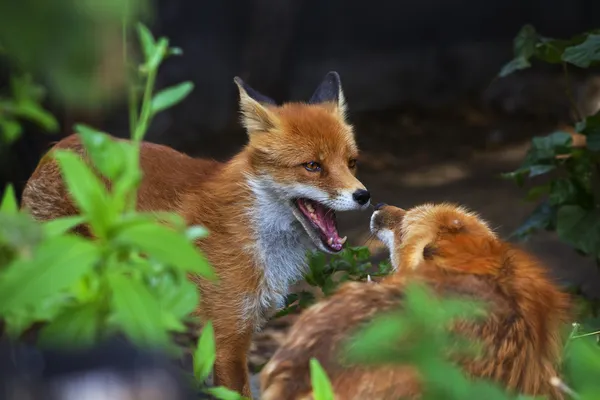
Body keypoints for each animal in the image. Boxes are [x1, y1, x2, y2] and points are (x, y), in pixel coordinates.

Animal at [19, 72, 370, 396]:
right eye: (312, 166)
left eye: (351, 162)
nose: (363, 196)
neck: (258, 232)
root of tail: (57, 147)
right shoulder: (228, 336)